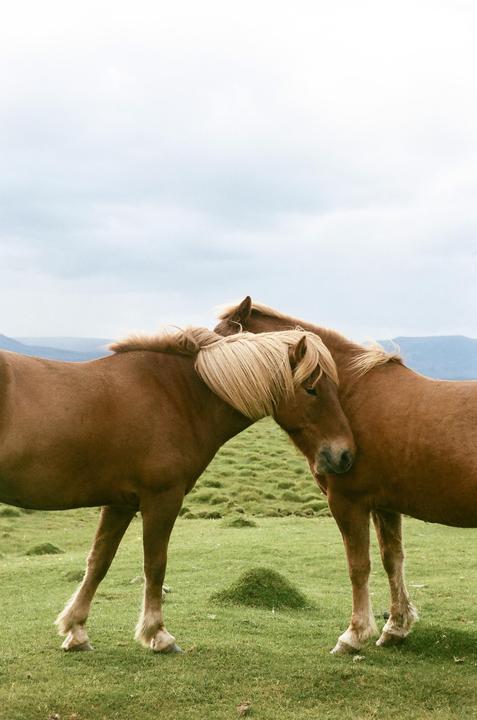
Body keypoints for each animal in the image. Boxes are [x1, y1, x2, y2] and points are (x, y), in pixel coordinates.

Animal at [0, 325, 355, 653]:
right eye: (311, 389)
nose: (344, 455)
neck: (176, 396)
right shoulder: (162, 499)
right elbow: (155, 566)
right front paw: (158, 634)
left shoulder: (120, 504)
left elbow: (99, 562)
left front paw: (76, 630)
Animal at [215, 297, 477, 654]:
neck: (351, 396)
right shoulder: (385, 505)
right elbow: (392, 560)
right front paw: (395, 627)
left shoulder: (347, 502)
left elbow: (358, 566)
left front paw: (354, 634)